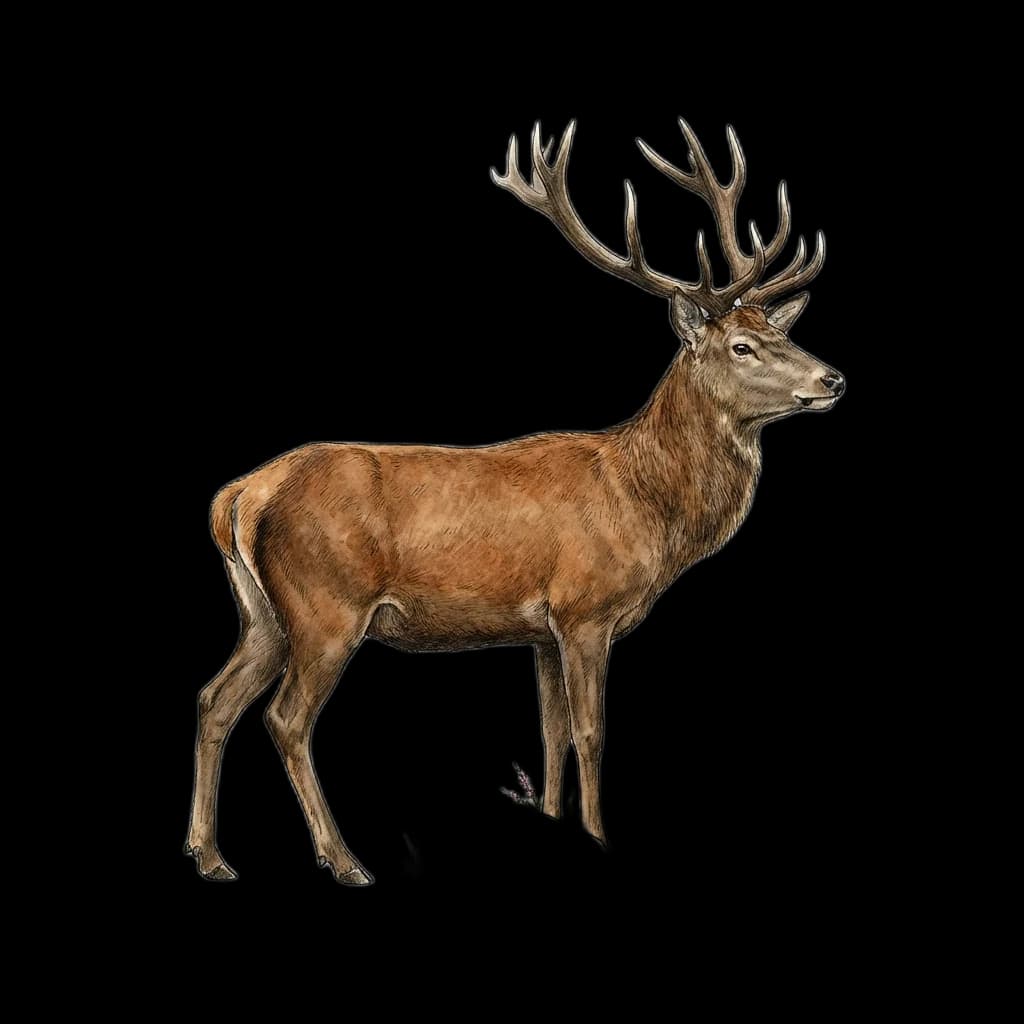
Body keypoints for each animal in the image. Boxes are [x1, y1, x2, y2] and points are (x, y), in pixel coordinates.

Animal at [186, 116, 844, 885]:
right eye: (742, 346)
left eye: (783, 331)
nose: (833, 379)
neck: (646, 503)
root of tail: (238, 496)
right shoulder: (585, 608)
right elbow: (590, 732)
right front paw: (599, 838)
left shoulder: (539, 627)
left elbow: (551, 733)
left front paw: (554, 824)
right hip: (325, 605)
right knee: (286, 719)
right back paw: (344, 860)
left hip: (262, 612)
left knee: (215, 700)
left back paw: (210, 856)